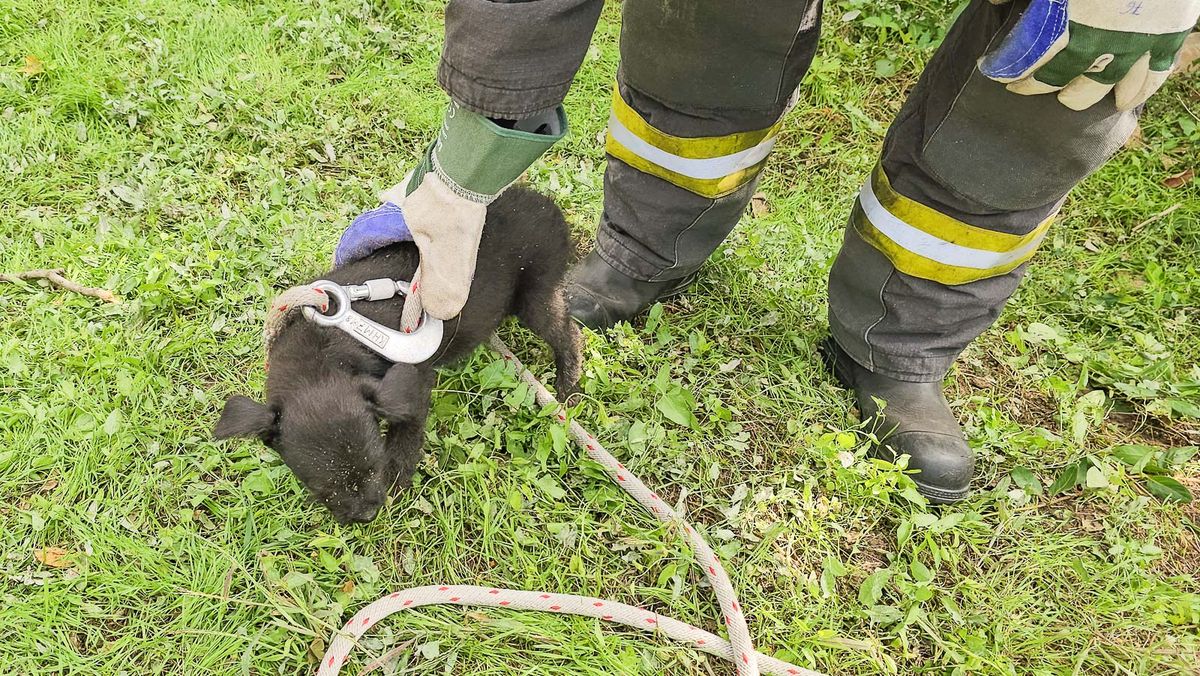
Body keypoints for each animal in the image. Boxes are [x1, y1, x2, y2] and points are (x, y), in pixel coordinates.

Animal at [214, 187, 580, 525]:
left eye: (374, 467)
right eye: (321, 489)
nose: (366, 517)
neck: (320, 353)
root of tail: (546, 204)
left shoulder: (413, 382)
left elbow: (407, 430)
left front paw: (400, 477)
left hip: (535, 294)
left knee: (568, 330)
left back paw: (568, 385)